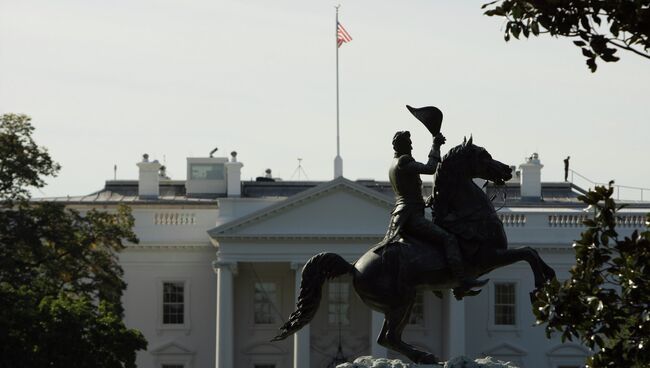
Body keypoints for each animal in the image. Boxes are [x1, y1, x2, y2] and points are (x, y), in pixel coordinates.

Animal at [270, 138, 556, 366]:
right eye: (483, 155)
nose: (506, 169)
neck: (467, 216)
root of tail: (353, 268)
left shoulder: (490, 260)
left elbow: (531, 251)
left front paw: (549, 280)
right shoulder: (487, 258)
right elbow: (528, 252)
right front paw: (542, 284)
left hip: (402, 301)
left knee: (389, 338)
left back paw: (424, 356)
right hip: (401, 300)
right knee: (388, 338)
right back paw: (424, 356)